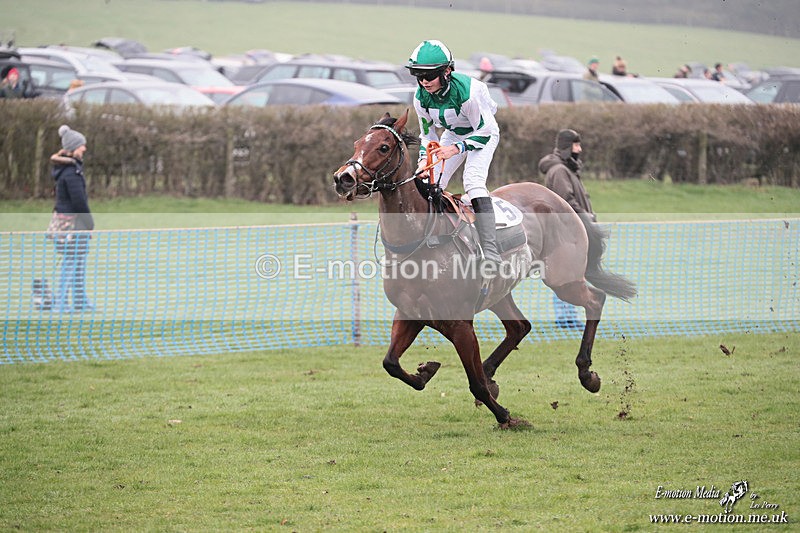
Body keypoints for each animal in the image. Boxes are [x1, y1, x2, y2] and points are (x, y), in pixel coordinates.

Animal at [333, 110, 636, 428]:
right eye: (357, 143)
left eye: (383, 147)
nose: (343, 178)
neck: (421, 240)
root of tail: (556, 197)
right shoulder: (409, 314)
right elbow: (390, 362)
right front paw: (426, 371)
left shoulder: (459, 324)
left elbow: (474, 382)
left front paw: (506, 416)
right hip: (500, 291)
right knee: (520, 326)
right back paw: (493, 373)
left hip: (563, 279)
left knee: (595, 300)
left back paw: (586, 373)